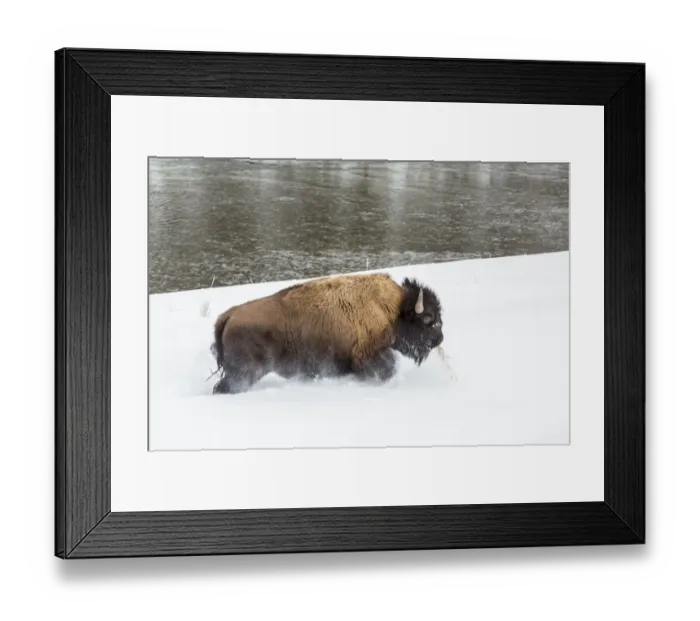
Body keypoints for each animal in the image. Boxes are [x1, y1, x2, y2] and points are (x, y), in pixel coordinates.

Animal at [210, 272, 443, 395]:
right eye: (428, 319)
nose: (439, 338)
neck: (390, 308)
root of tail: (229, 315)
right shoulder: (368, 355)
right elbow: (387, 368)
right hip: (244, 373)